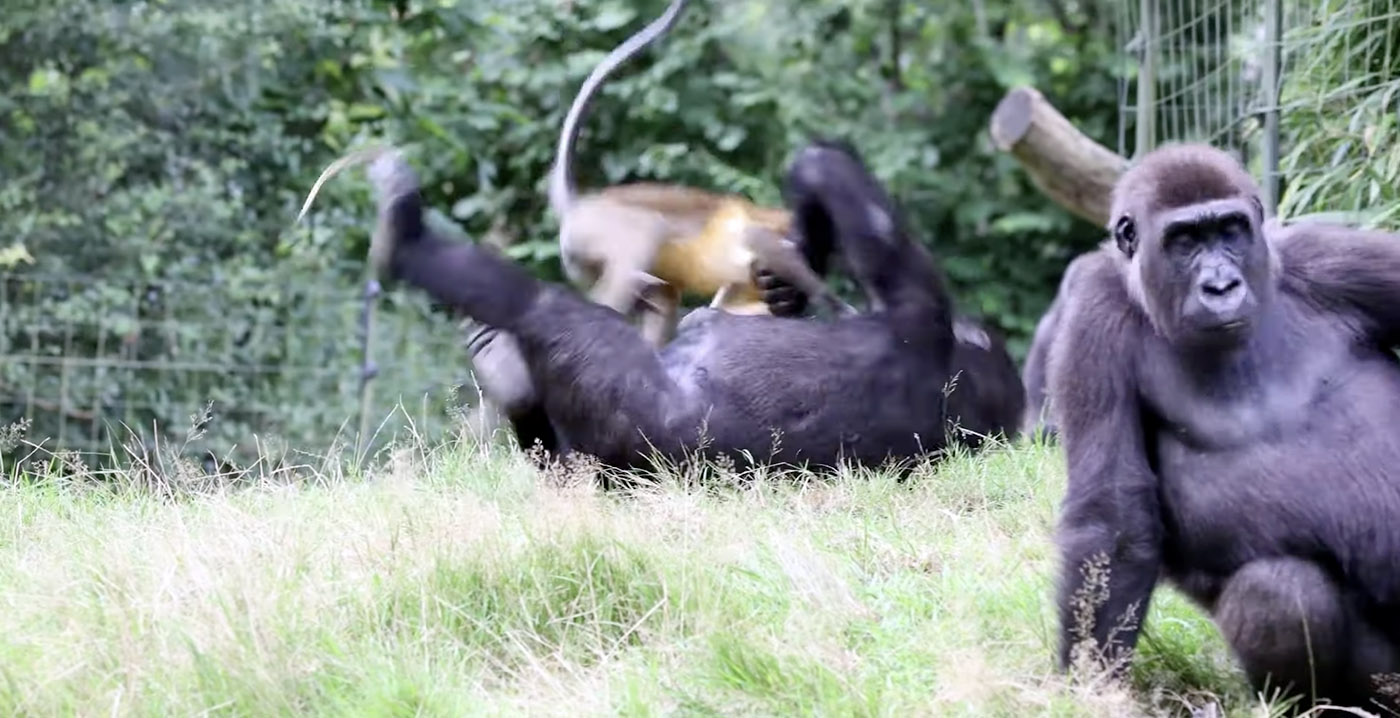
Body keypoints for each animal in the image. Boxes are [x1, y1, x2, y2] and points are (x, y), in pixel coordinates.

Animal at [546, 0, 840, 344]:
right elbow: (758, 240)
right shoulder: (779, 238)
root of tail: (578, 206)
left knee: (661, 295)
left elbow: (720, 306)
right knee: (645, 236)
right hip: (594, 232)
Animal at [1052, 141, 1400, 711]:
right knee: (1277, 591)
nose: (1221, 286)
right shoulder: (1093, 315)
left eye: (1230, 231)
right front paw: (1088, 689)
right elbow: (1112, 514)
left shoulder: (1329, 257)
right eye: (1185, 241)